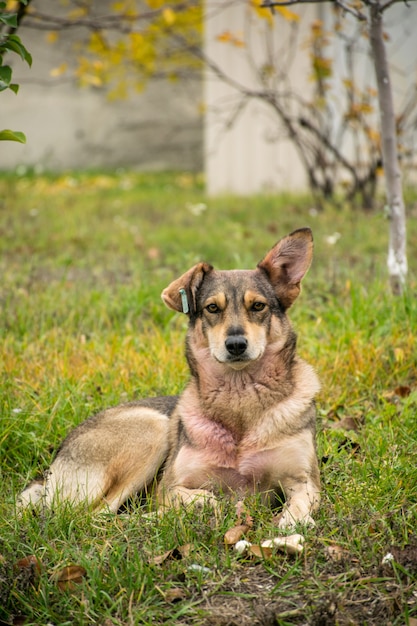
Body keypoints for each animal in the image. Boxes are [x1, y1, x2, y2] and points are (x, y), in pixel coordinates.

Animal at [17, 227, 320, 524]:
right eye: (212, 308)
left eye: (258, 306)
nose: (235, 344)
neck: (239, 395)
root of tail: (49, 473)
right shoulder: (171, 486)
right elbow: (198, 496)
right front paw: (212, 505)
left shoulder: (305, 482)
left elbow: (300, 506)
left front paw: (292, 522)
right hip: (152, 429)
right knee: (99, 517)